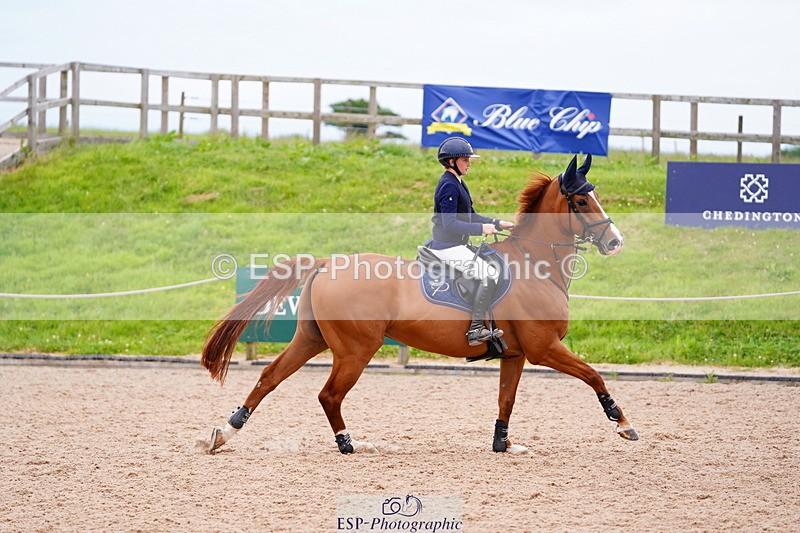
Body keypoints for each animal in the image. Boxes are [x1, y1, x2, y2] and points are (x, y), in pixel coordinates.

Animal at [197, 154, 639, 455]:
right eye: (581, 203)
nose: (616, 242)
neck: (535, 263)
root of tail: (328, 263)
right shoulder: (545, 347)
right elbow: (594, 376)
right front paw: (622, 423)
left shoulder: (516, 354)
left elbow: (507, 399)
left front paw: (503, 444)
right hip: (356, 349)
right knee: (329, 395)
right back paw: (349, 444)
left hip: (311, 338)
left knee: (269, 377)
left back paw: (225, 432)